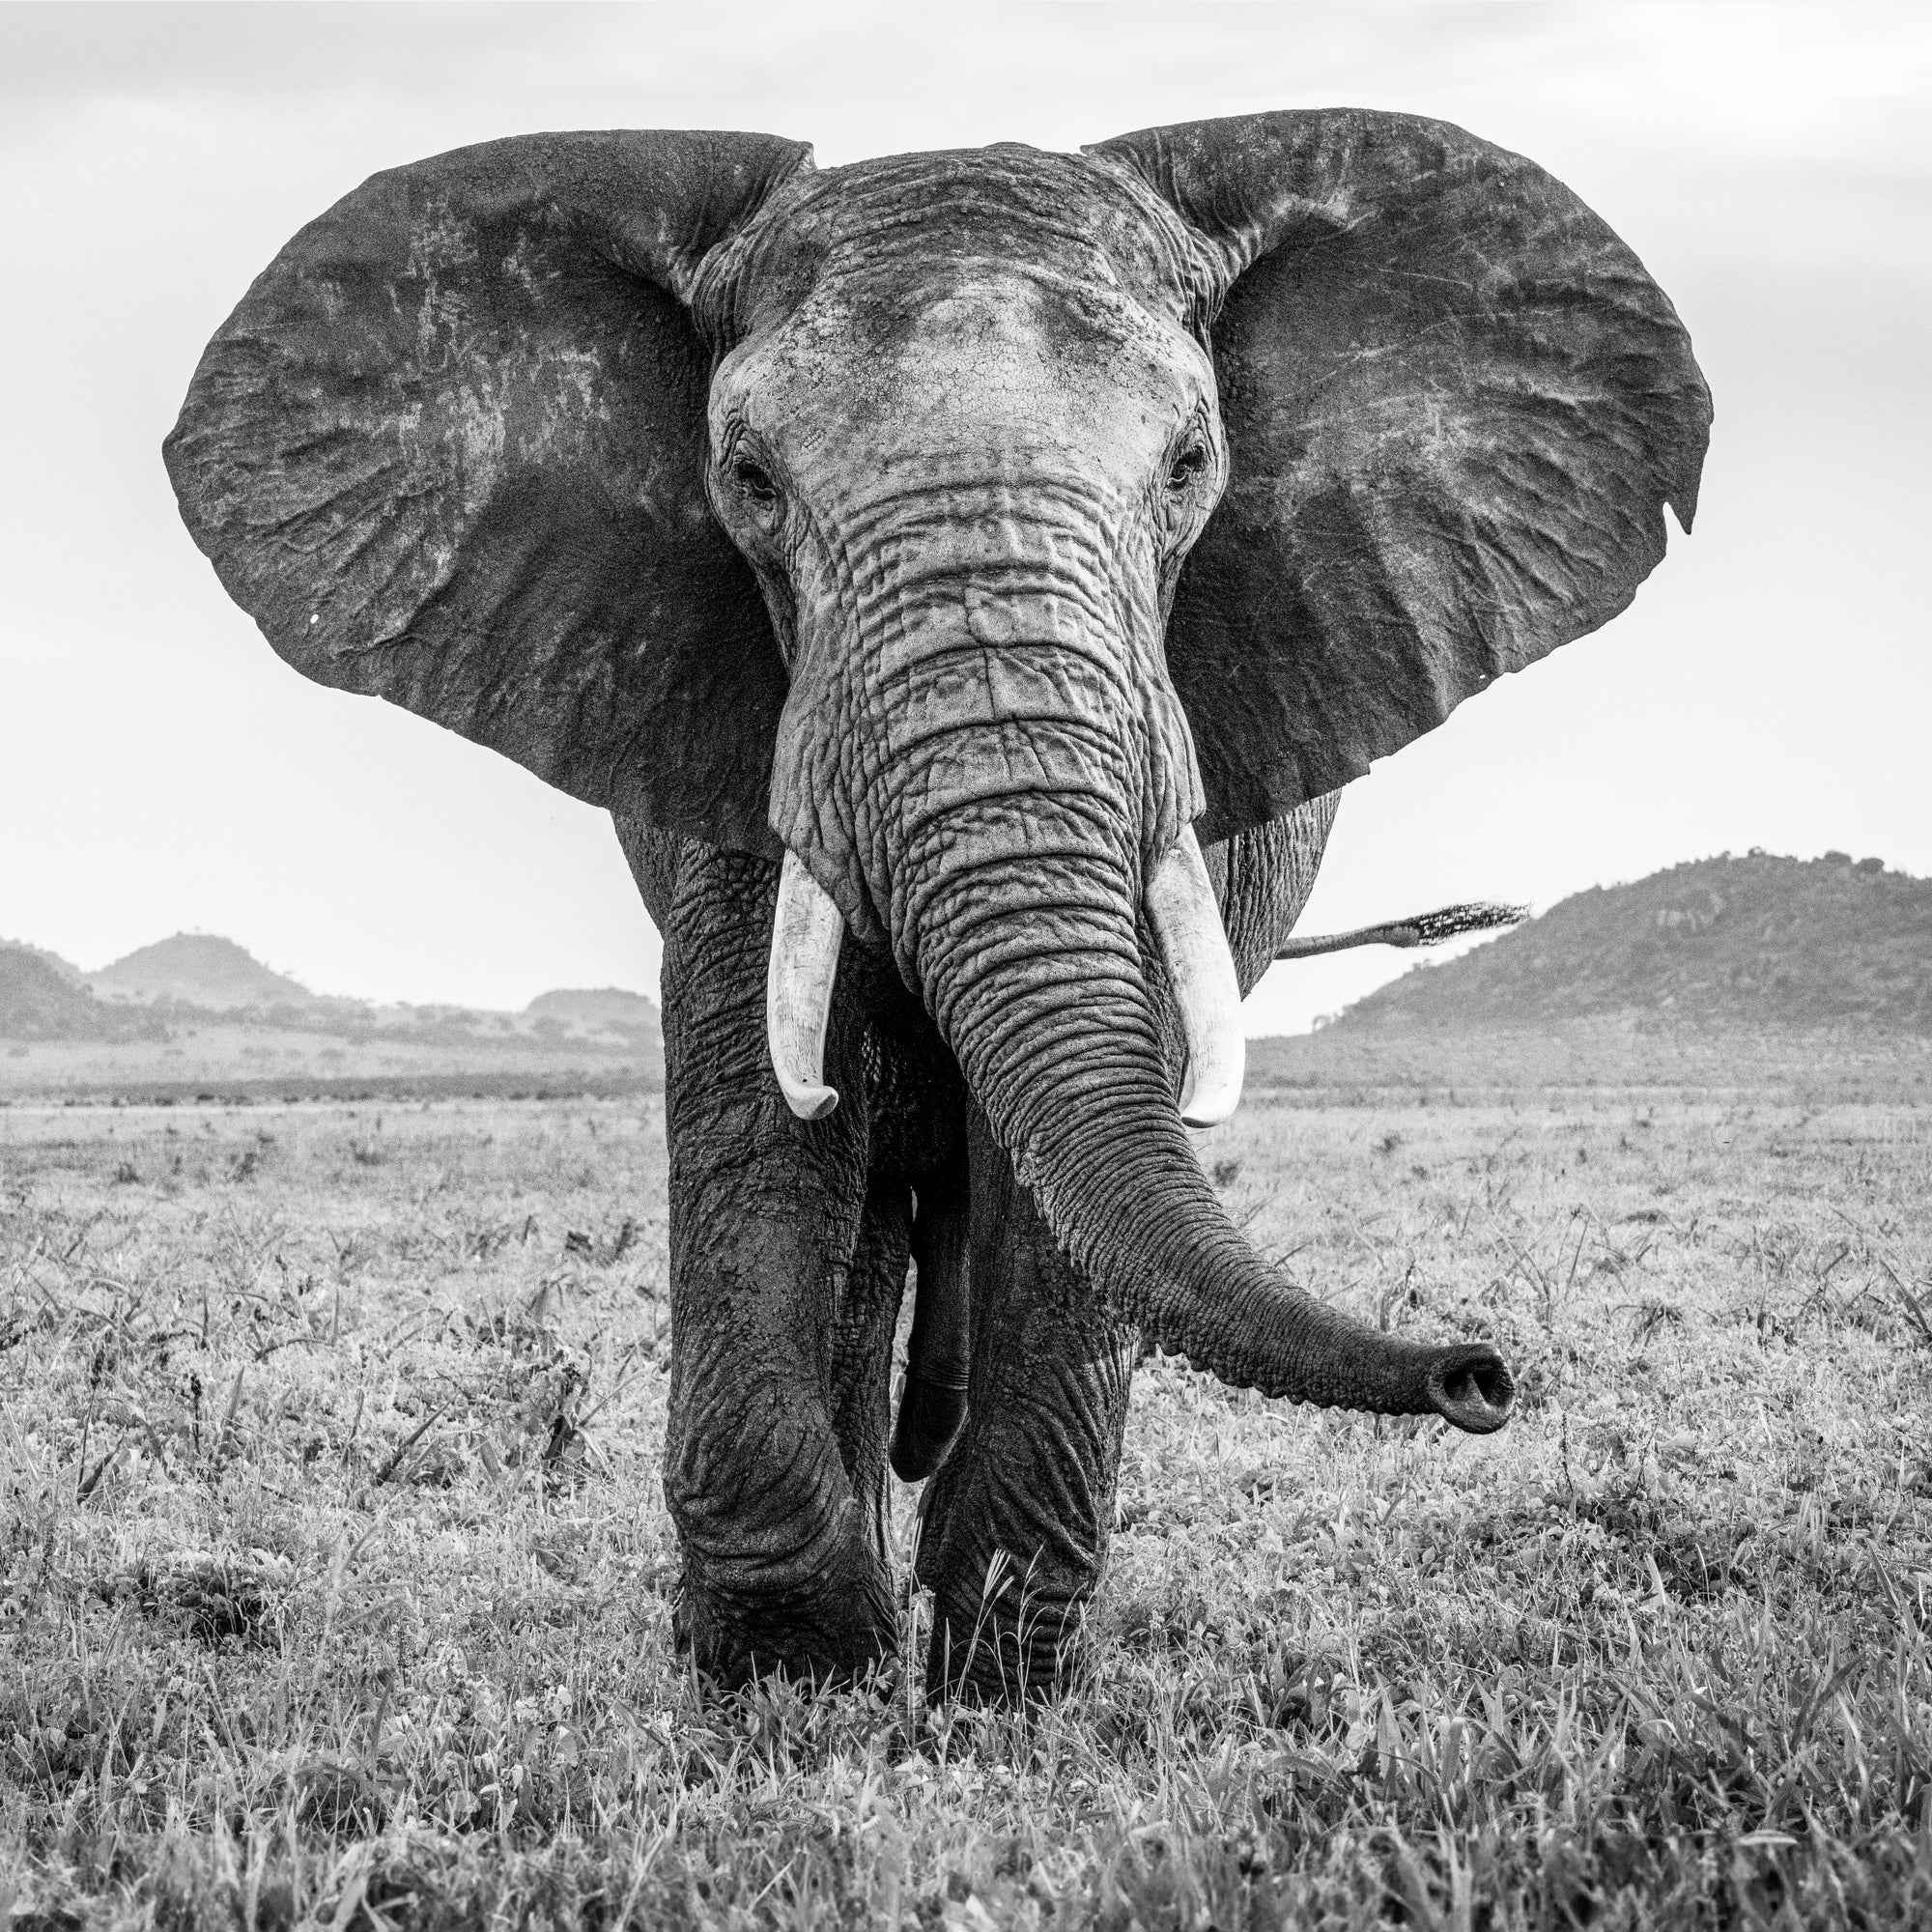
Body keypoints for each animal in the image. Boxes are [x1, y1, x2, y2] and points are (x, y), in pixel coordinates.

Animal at [166, 113, 1708, 1700]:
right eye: (748, 477)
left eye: (1189, 464)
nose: (1479, 1373)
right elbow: (765, 1118)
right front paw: (794, 1682)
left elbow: (1058, 1194)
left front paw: (992, 1695)